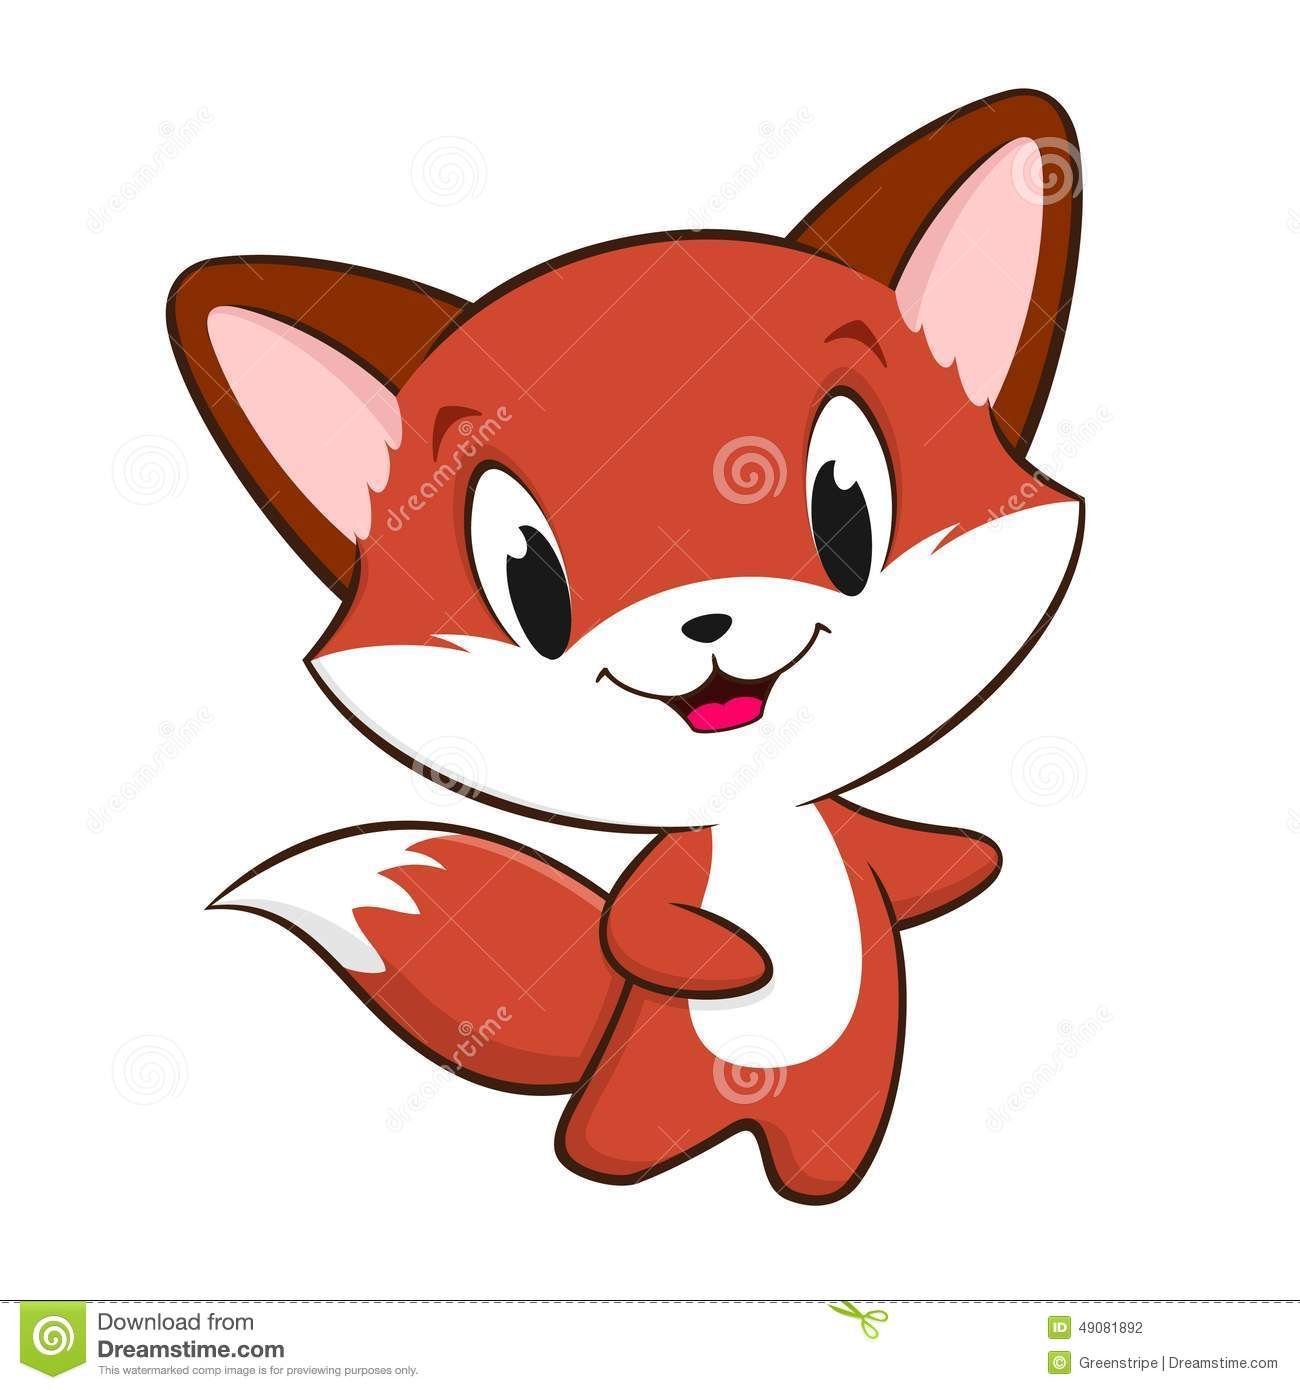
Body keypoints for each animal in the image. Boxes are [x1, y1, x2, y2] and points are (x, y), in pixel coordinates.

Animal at [168, 90, 1084, 1204]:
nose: (706, 619)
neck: (759, 820)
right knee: (616, 1133)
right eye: (530, 585)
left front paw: (963, 858)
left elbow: (900, 851)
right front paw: (737, 960)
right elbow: (641, 925)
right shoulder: (665, 885)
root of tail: (743, 1119)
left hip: (841, 1086)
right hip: (654, 1074)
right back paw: (609, 1157)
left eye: (845, 514)